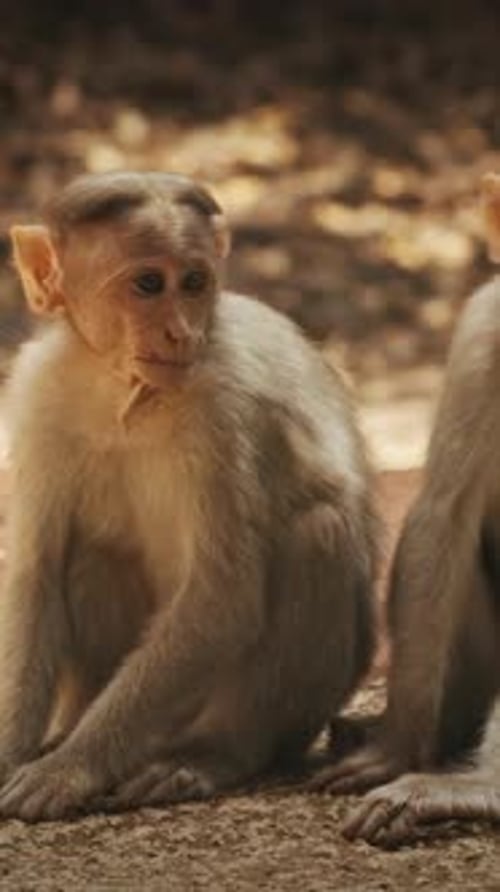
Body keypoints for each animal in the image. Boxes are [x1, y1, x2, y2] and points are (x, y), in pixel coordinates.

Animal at [0, 170, 377, 822]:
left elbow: (223, 599)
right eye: (148, 284)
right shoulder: (37, 389)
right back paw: (70, 725)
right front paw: (15, 751)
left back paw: (213, 754)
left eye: (195, 283)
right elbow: (36, 573)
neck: (125, 389)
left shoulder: (227, 402)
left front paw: (70, 767)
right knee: (89, 551)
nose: (182, 331)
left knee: (319, 529)